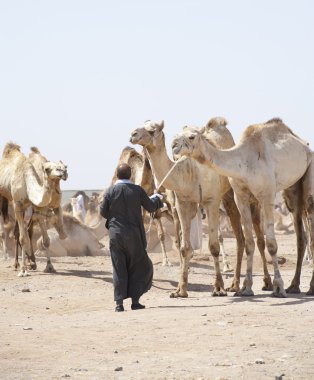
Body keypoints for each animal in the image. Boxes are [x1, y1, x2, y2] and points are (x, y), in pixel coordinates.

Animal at [130, 119, 253, 296]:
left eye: (152, 130)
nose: (133, 134)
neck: (188, 171)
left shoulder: (211, 201)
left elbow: (213, 246)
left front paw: (218, 287)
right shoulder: (183, 204)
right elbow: (184, 247)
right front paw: (180, 290)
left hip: (230, 195)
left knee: (240, 239)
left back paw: (236, 285)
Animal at [172, 119, 312, 296]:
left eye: (191, 136)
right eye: (177, 134)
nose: (173, 145)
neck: (243, 162)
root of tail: (305, 145)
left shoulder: (267, 195)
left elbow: (271, 244)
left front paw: (278, 286)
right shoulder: (240, 197)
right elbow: (249, 243)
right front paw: (246, 287)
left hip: (309, 171)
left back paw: (307, 287)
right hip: (293, 189)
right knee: (300, 233)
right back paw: (294, 286)